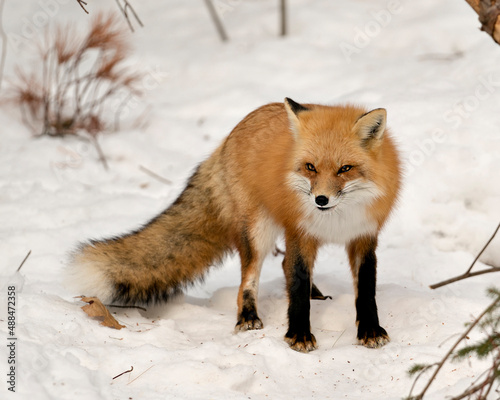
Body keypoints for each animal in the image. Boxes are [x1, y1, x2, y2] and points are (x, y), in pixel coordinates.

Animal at [68, 98, 400, 352]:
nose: (320, 200)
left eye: (345, 169)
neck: (336, 220)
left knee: (282, 268)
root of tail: (232, 133)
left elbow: (365, 289)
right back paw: (247, 318)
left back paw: (315, 294)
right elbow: (296, 285)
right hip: (258, 233)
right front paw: (299, 335)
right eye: (310, 167)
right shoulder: (299, 233)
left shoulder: (363, 237)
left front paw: (370, 331)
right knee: (248, 281)